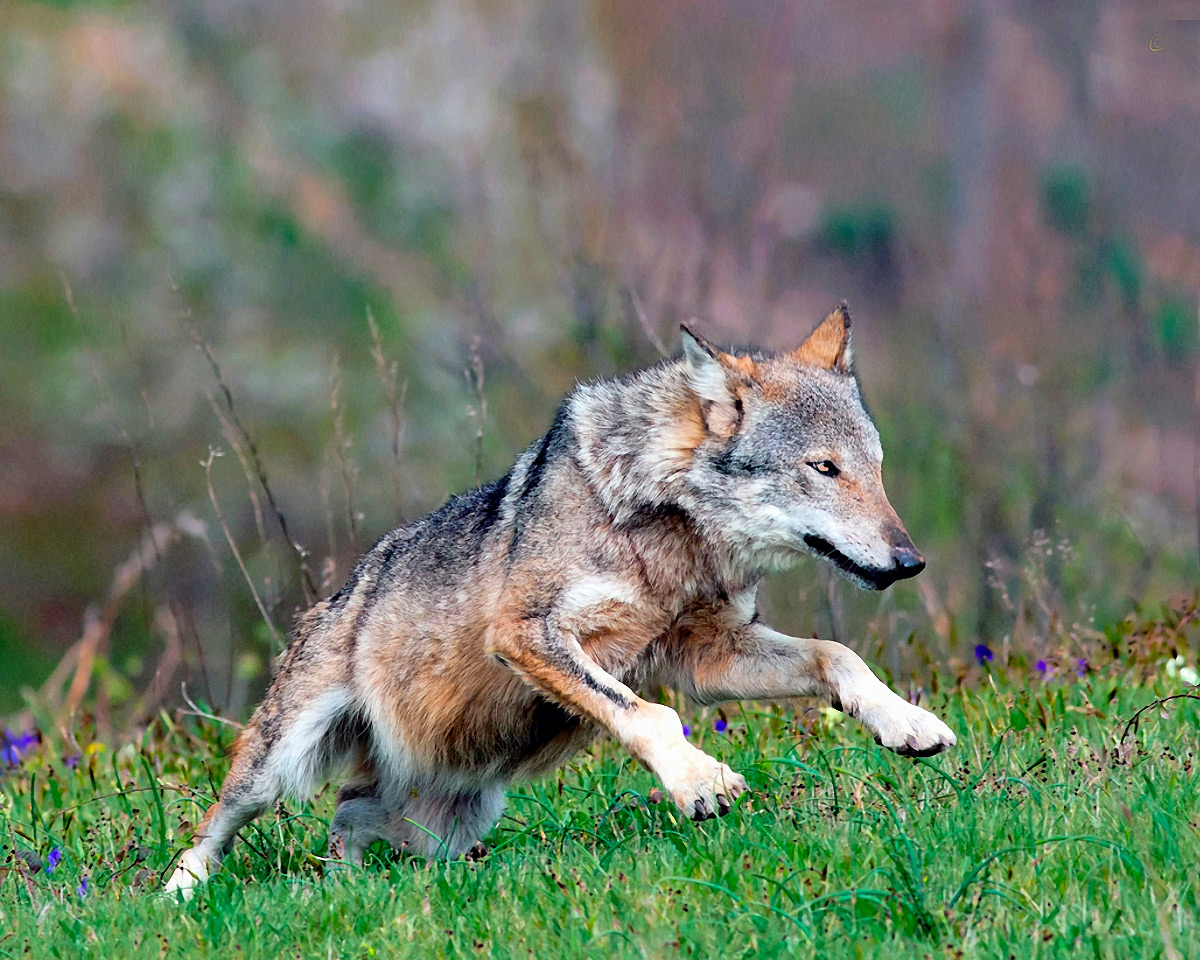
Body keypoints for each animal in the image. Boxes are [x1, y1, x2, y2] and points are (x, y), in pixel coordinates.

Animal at [166, 303, 955, 897]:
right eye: (823, 468)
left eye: (875, 469)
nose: (911, 561)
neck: (667, 537)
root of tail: (338, 593)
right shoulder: (527, 636)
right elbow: (646, 715)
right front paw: (698, 781)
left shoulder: (707, 655)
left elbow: (837, 656)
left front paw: (906, 722)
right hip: (280, 764)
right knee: (212, 828)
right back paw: (179, 898)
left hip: (447, 816)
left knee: (352, 835)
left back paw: (356, 888)